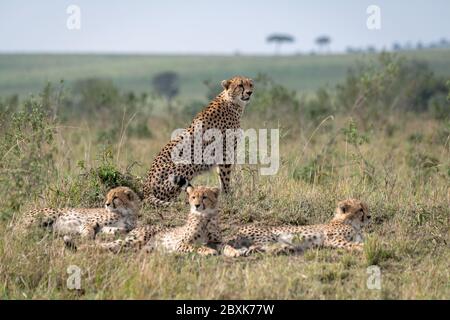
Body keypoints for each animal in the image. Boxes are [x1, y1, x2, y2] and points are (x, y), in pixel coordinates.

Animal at [81, 184, 222, 256]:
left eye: (204, 197)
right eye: (193, 197)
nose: (197, 205)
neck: (204, 217)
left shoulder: (218, 241)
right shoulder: (180, 243)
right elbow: (196, 247)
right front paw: (209, 251)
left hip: (140, 247)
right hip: (136, 240)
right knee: (109, 245)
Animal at [142, 75, 253, 206]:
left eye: (250, 85)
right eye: (240, 85)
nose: (249, 92)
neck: (232, 102)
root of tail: (146, 189)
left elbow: (221, 177)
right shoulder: (225, 152)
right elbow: (225, 178)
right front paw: (228, 197)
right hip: (186, 163)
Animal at [221, 199, 370, 256]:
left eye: (366, 207)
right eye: (360, 209)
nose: (369, 216)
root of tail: (237, 229)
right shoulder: (333, 238)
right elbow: (351, 244)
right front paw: (361, 248)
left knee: (251, 248)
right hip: (267, 236)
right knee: (256, 246)